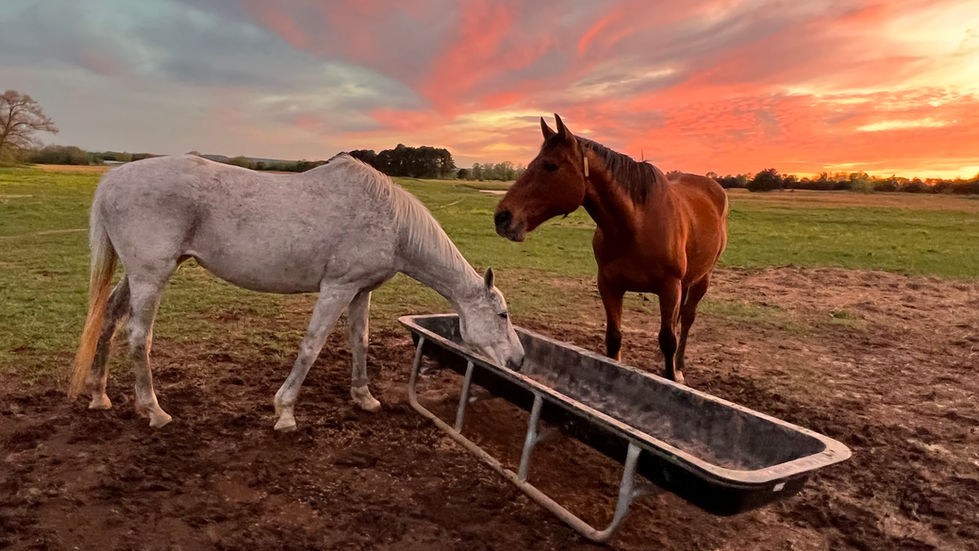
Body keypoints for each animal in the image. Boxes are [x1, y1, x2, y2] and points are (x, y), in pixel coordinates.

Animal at [68, 153, 524, 431]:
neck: (392, 222)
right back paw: (154, 410)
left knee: (109, 318)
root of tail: (113, 178)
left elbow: (359, 341)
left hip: (137, 275)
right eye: (502, 315)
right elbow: (313, 344)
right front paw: (285, 411)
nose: (519, 360)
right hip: (151, 276)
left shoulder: (360, 291)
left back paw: (99, 394)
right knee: (138, 336)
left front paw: (364, 397)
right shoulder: (337, 288)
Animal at [494, 115, 727, 384]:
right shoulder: (609, 285)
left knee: (687, 318)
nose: (502, 217)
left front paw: (672, 375)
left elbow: (668, 340)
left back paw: (678, 366)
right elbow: (614, 338)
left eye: (550, 166)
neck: (636, 225)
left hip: (702, 279)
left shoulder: (670, 288)